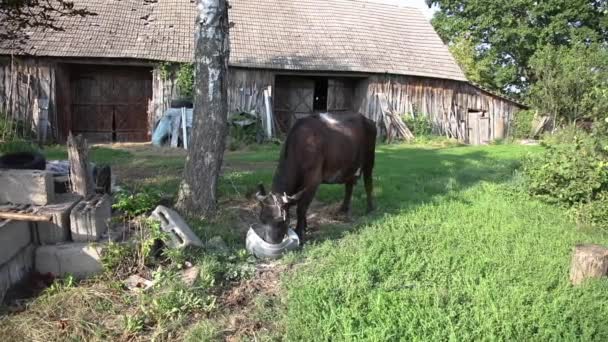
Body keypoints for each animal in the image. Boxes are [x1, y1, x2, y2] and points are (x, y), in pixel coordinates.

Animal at [255, 112, 376, 243]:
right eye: (262, 219)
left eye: (281, 221)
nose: (270, 243)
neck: (301, 145)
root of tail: (366, 119)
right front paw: (305, 227)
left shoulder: (313, 181)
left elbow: (301, 208)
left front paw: (299, 232)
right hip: (349, 165)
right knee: (349, 186)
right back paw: (343, 209)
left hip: (369, 159)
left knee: (368, 183)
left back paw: (369, 209)